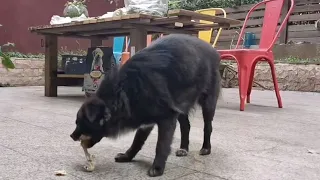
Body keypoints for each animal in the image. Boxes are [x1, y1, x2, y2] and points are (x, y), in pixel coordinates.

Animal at [70, 33, 221, 177]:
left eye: (80, 122)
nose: (71, 136)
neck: (124, 92)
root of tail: (212, 50)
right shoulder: (145, 118)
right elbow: (137, 141)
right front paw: (127, 156)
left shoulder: (167, 118)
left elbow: (161, 145)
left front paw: (158, 168)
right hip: (181, 105)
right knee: (186, 126)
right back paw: (184, 148)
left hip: (208, 103)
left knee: (208, 126)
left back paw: (206, 148)